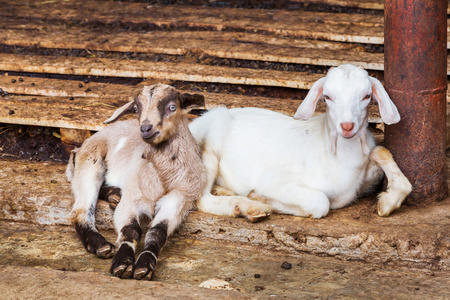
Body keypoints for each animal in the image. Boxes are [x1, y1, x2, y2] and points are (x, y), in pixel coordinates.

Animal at [188, 64, 414, 221]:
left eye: (367, 96)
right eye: (328, 97)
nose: (347, 126)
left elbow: (381, 151)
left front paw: (388, 202)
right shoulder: (274, 180)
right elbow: (320, 202)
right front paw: (259, 198)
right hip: (209, 145)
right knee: (202, 198)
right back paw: (249, 206)